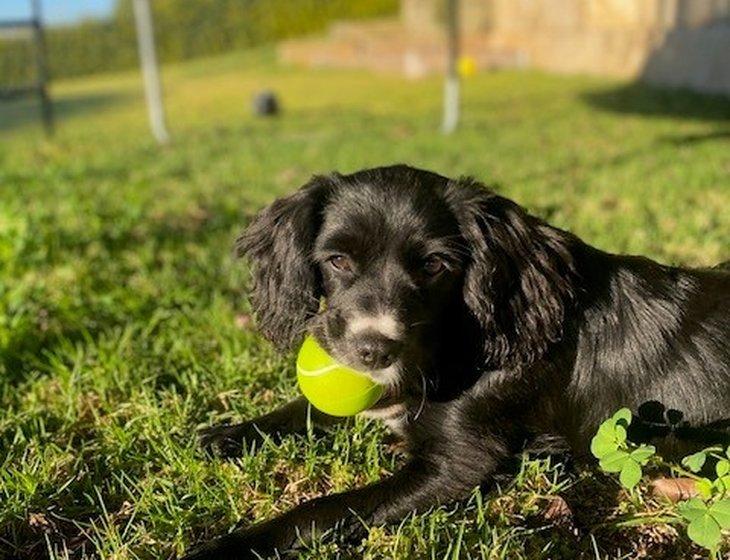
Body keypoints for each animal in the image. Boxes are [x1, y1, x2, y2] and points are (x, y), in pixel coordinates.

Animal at [183, 164, 728, 556]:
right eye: (337, 260)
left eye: (434, 265)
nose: (373, 350)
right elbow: (308, 409)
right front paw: (228, 433)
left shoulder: (462, 461)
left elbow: (325, 509)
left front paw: (230, 548)